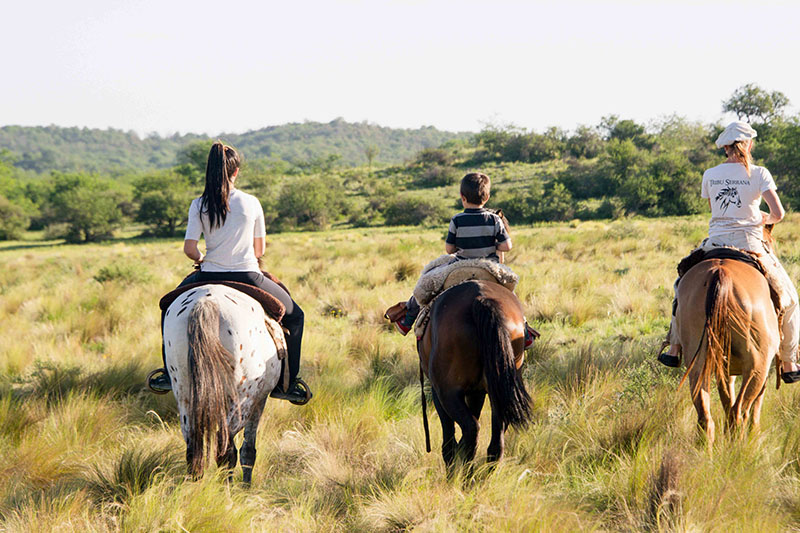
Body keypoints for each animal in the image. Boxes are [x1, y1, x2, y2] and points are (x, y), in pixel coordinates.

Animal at [160, 284, 284, 484]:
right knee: (225, 449)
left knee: (193, 445)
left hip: (185, 394)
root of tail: (206, 301)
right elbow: (248, 450)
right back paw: (227, 489)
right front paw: (246, 486)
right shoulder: (259, 400)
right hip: (242, 400)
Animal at [418, 280, 532, 468]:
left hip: (448, 392)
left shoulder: (438, 392)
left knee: (470, 430)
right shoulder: (477, 392)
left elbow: (449, 439)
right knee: (495, 445)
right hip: (500, 392)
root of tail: (481, 298)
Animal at [676, 256, 780, 442]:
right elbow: (754, 409)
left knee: (706, 418)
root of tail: (721, 274)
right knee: (739, 413)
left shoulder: (724, 372)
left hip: (697, 367)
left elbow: (726, 399)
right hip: (756, 368)